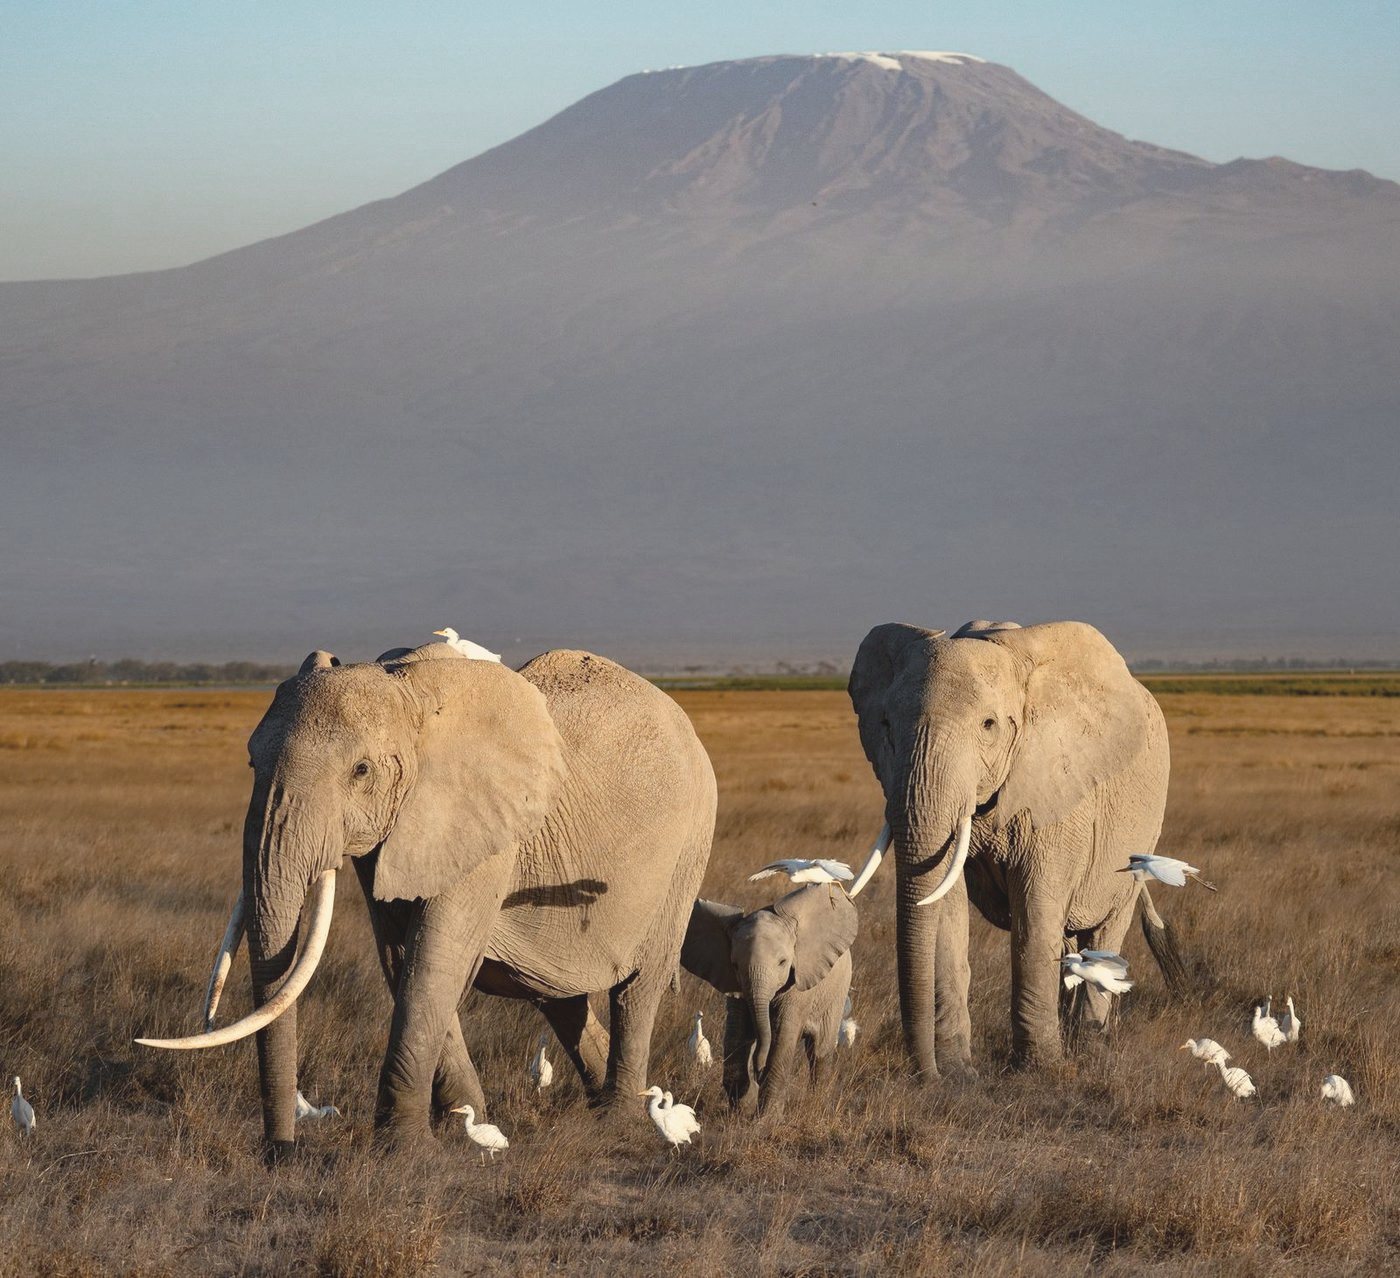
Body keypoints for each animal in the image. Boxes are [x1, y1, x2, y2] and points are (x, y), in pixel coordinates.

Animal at [138, 642, 717, 1156]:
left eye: (361, 771)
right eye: (251, 764)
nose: (279, 1152)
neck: (409, 694)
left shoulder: (480, 829)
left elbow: (434, 960)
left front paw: (405, 1150)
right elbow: (401, 959)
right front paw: (467, 1123)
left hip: (688, 849)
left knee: (636, 990)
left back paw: (619, 1122)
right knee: (557, 997)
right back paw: (599, 1106)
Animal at [680, 884, 856, 1115]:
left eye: (782, 962)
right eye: (735, 965)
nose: (758, 1070)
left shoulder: (798, 987)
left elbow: (782, 1039)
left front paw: (765, 1119)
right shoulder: (735, 985)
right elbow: (737, 1037)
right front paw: (743, 1109)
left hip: (837, 991)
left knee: (819, 1051)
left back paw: (818, 1104)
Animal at [846, 618, 1183, 1077]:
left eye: (988, 725)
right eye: (884, 726)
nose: (924, 1075)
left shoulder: (1057, 791)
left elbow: (1035, 911)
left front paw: (1038, 1070)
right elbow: (945, 909)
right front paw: (958, 1073)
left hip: (1145, 828)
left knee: (1107, 927)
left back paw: (1089, 1049)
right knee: (1069, 942)